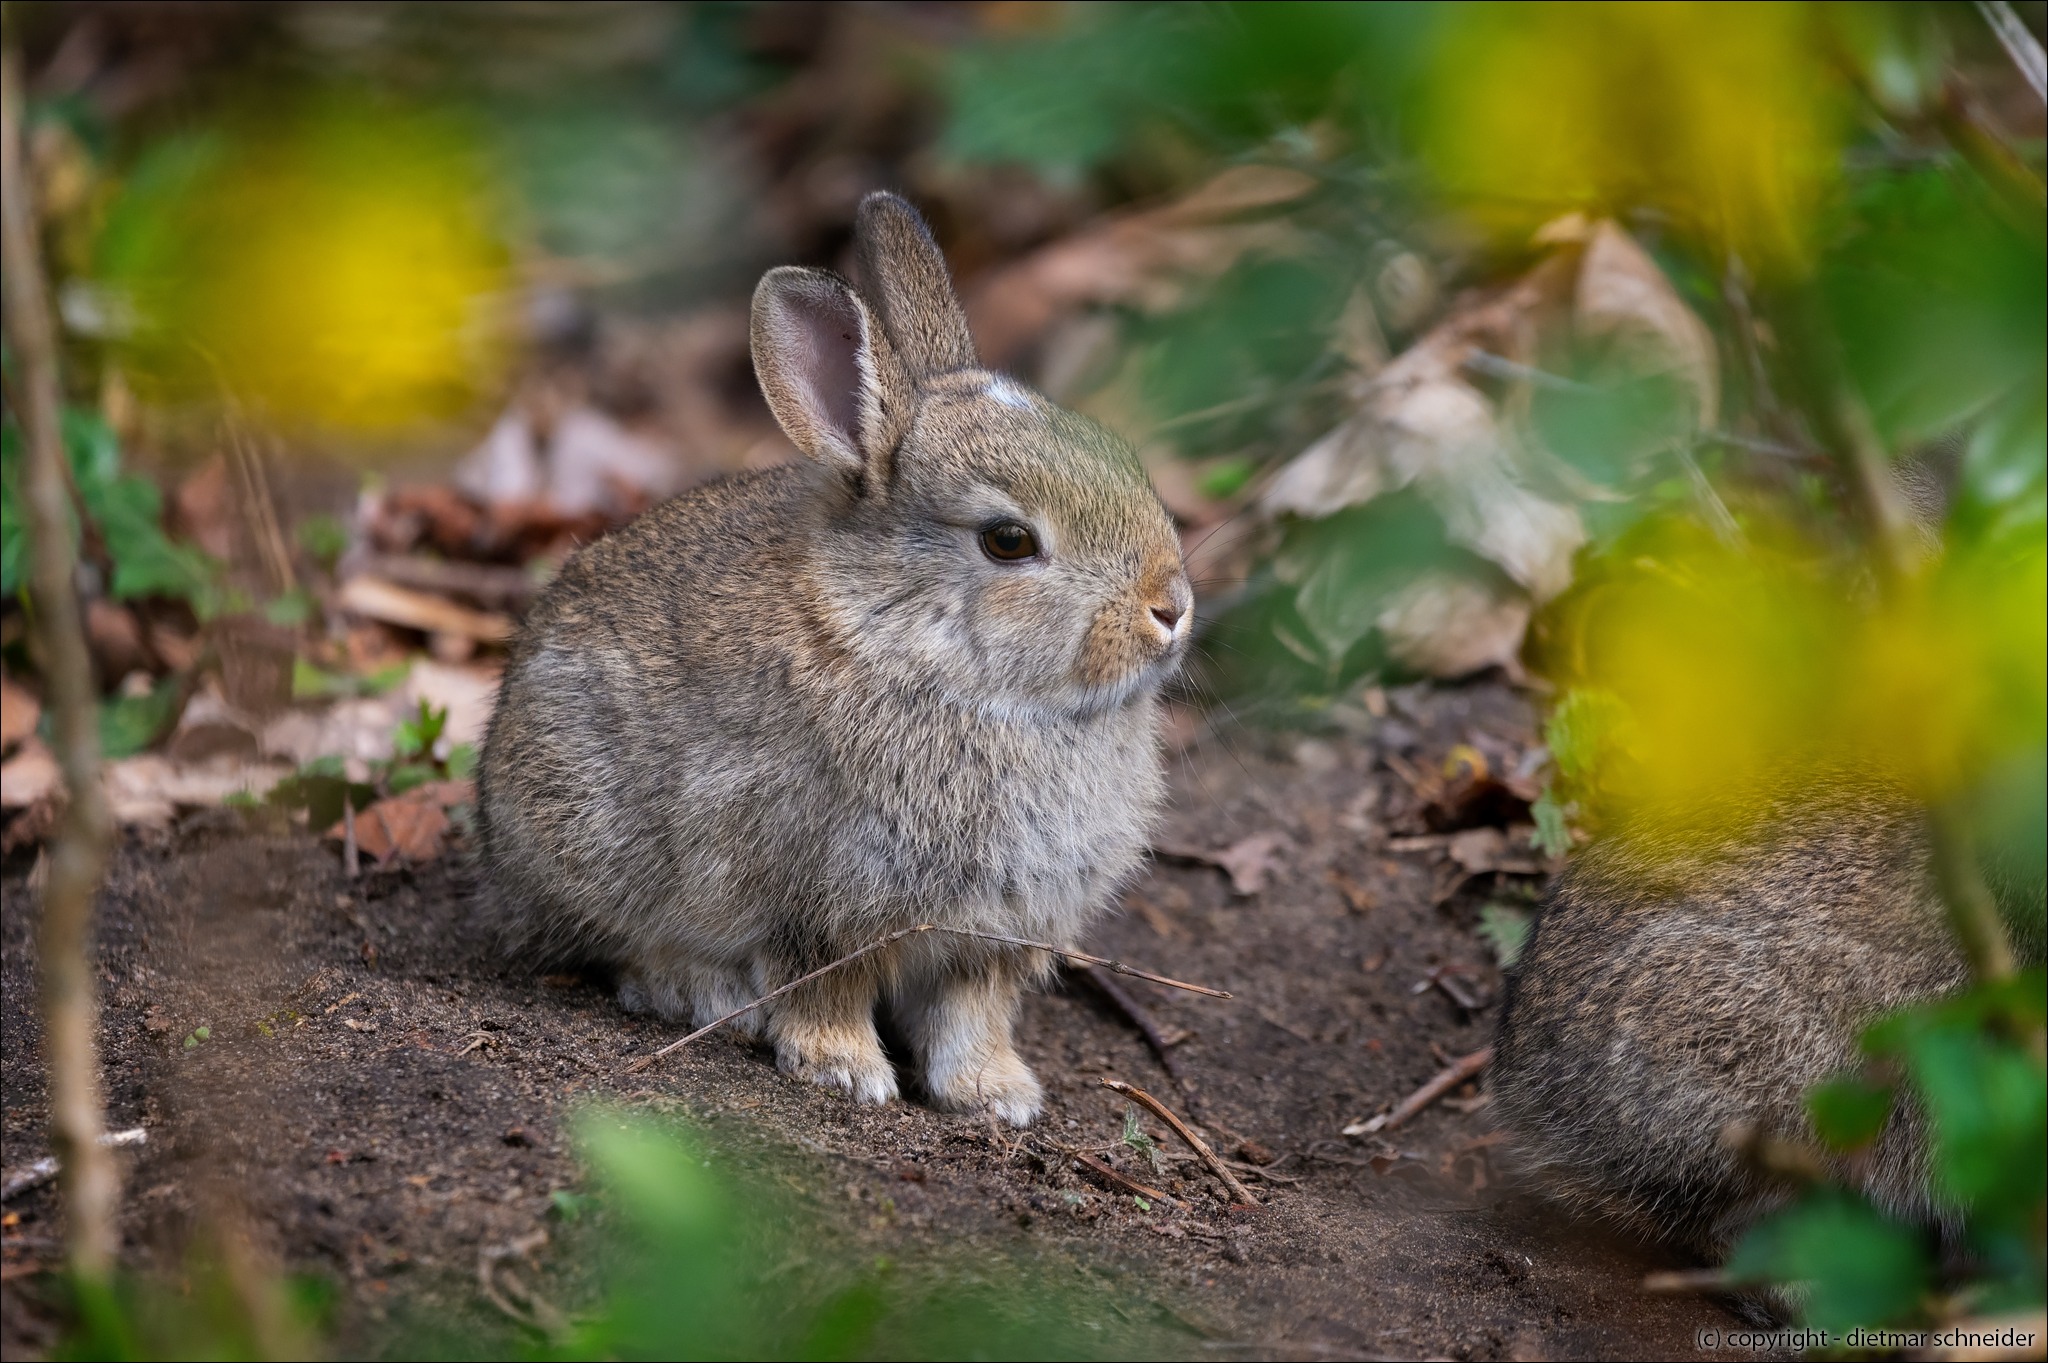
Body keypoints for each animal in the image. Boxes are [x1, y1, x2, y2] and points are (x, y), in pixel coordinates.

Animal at [471, 193, 1196, 1121]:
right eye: (1008, 540)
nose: (1170, 608)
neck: (913, 648)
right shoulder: (819, 903)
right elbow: (826, 990)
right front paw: (846, 1071)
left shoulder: (990, 935)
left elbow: (972, 1012)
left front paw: (996, 1094)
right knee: (618, 946)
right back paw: (702, 993)